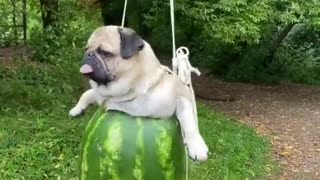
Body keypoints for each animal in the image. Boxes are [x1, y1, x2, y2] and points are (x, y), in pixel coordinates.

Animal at [69, 25, 209, 160]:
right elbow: (86, 94)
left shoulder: (179, 99)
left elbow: (189, 123)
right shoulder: (100, 94)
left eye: (104, 53)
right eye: (86, 49)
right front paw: (76, 109)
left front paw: (197, 148)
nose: (89, 54)